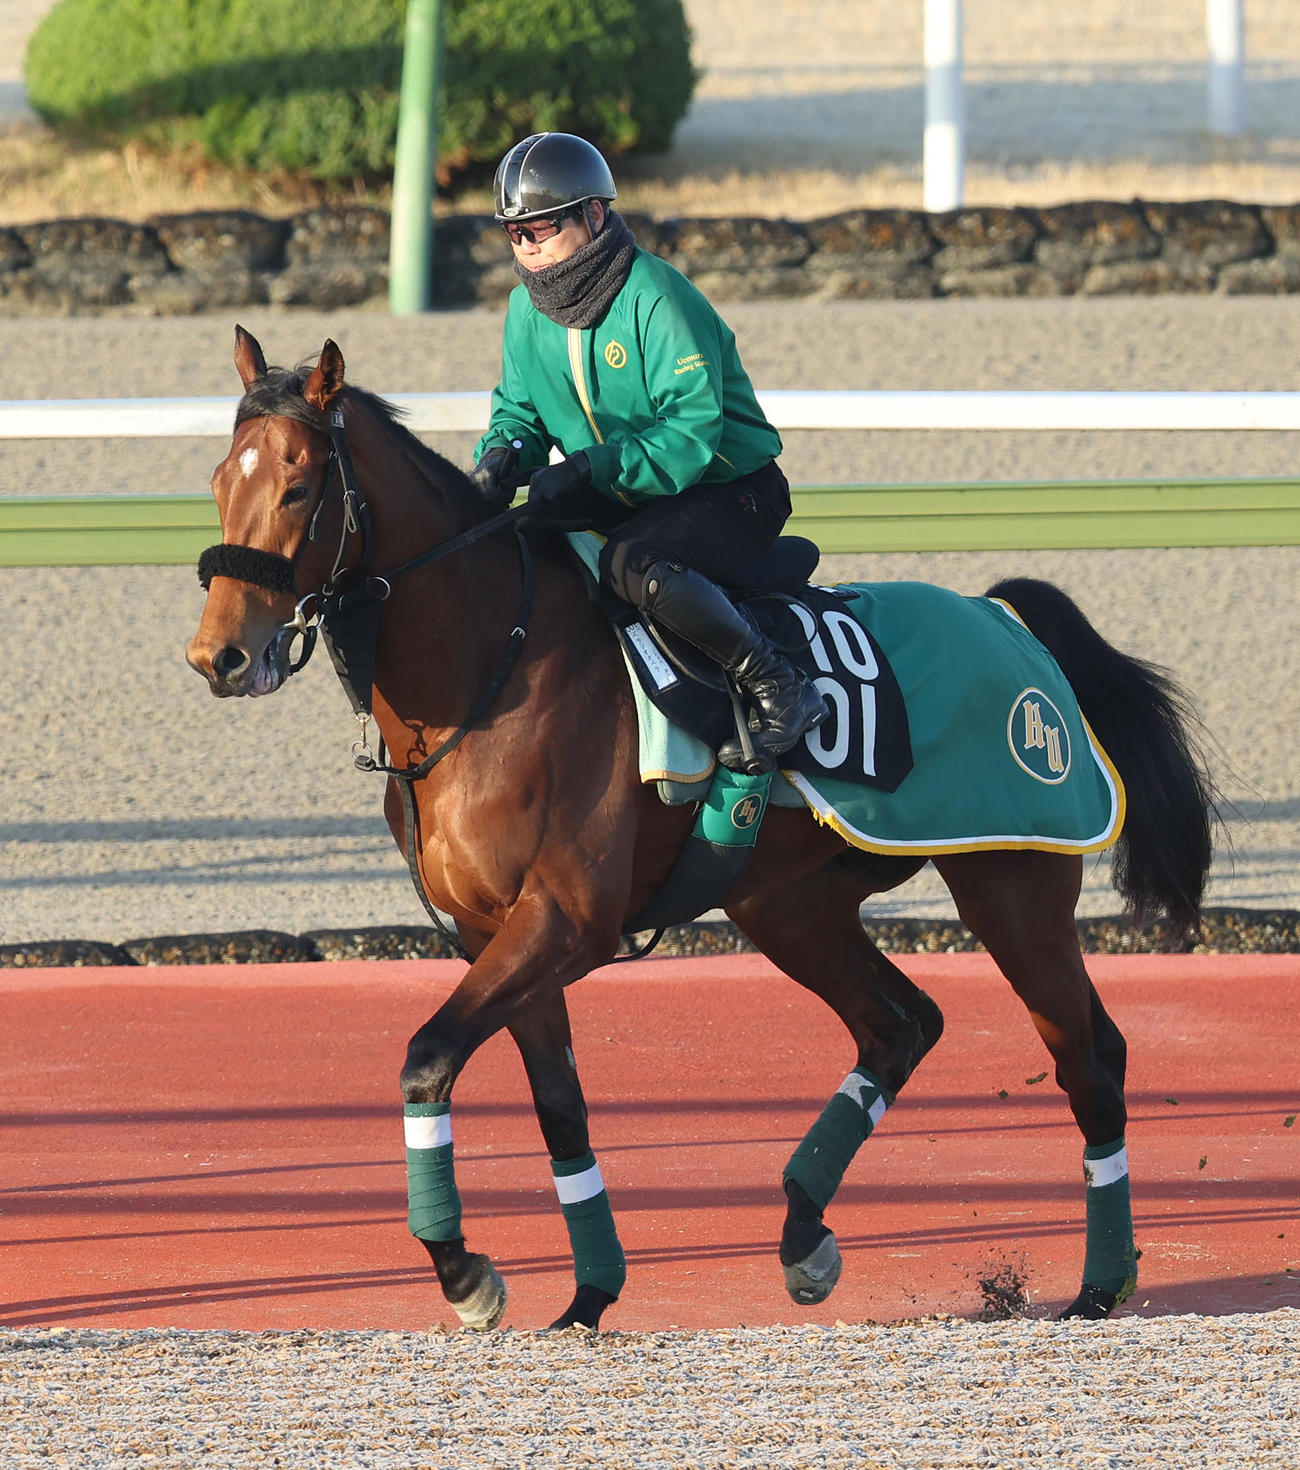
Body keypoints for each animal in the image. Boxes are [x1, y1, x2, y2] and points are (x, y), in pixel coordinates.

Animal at [187, 327, 1217, 1331]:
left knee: (1089, 1056)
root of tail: (1006, 617)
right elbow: (559, 1107)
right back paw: (805, 1235)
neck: (489, 674)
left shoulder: (565, 922)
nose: (218, 655)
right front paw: (587, 1296)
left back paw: (1099, 1287)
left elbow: (427, 1058)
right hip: (789, 905)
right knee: (899, 1025)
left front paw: (466, 1272)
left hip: (1012, 886)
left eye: (299, 484)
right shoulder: (493, 933)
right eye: (220, 480)